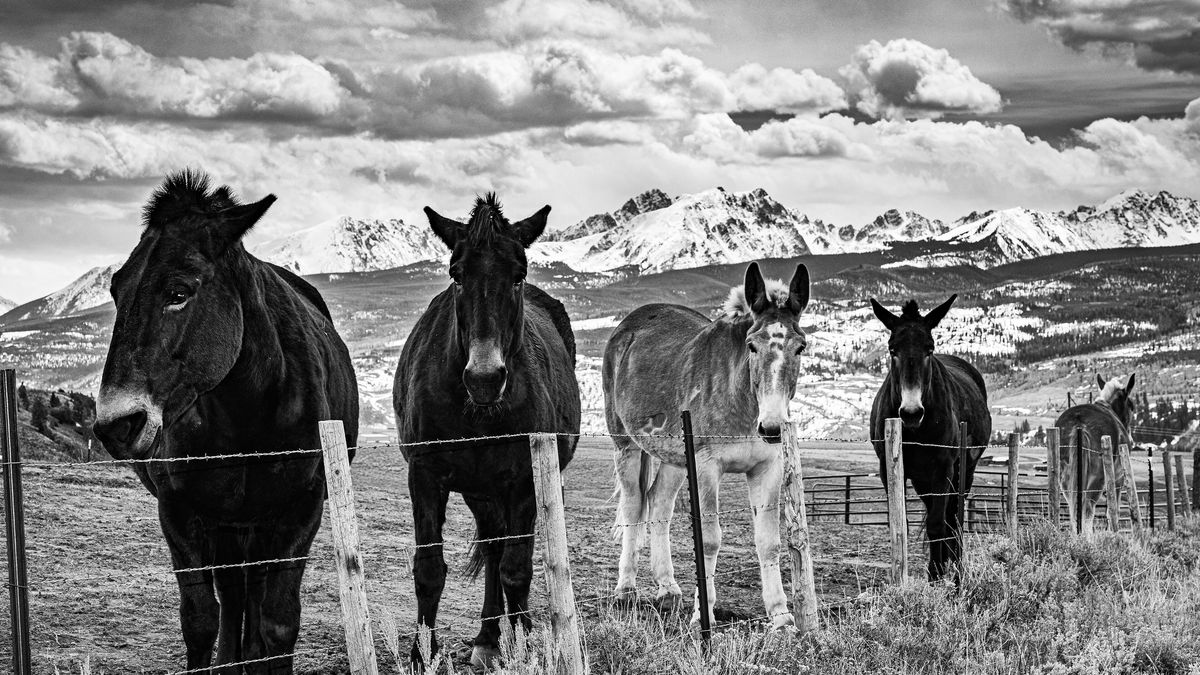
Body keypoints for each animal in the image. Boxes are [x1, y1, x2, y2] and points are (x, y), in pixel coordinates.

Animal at [91, 170, 359, 673]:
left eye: (178, 292)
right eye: (116, 290)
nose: (116, 425)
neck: (245, 414)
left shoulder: (301, 510)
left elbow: (279, 622)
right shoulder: (179, 512)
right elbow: (200, 620)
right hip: (230, 526)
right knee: (234, 595)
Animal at [393, 194, 580, 669]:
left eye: (519, 275)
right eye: (457, 274)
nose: (484, 378)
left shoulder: (525, 482)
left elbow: (518, 570)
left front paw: (524, 648)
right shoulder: (425, 475)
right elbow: (429, 570)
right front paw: (422, 655)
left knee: (508, 554)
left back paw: (501, 637)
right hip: (480, 491)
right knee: (494, 545)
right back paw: (487, 637)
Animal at [603, 262, 810, 631]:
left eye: (799, 347)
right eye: (752, 346)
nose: (771, 427)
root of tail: (626, 326)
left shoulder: (767, 468)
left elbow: (769, 543)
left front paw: (782, 618)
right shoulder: (707, 467)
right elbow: (709, 539)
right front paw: (704, 615)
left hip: (672, 457)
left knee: (659, 504)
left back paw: (667, 590)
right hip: (626, 446)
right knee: (633, 507)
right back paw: (625, 590)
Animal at [869, 295, 991, 581]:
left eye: (929, 349)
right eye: (892, 350)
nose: (911, 412)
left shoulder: (943, 466)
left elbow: (937, 524)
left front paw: (935, 576)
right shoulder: (888, 468)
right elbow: (899, 523)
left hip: (962, 472)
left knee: (952, 518)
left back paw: (955, 566)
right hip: (923, 478)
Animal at [1055, 373, 1135, 536]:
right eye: (1131, 406)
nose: (1131, 440)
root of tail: (1079, 421)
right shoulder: (1118, 479)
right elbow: (1113, 511)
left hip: (1065, 478)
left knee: (1074, 509)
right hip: (1098, 478)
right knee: (1087, 509)